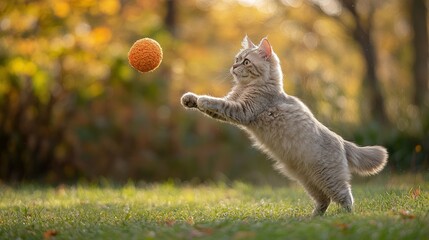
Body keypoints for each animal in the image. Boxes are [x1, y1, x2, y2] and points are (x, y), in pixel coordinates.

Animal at [179, 35, 386, 216]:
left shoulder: (243, 110)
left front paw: (203, 100)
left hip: (329, 178)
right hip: (308, 181)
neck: (247, 87)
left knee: (346, 196)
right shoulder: (234, 102)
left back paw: (344, 216)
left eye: (246, 62)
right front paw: (190, 99)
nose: (233, 66)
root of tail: (342, 141)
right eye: (237, 59)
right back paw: (312, 218)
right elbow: (213, 105)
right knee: (324, 200)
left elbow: (218, 103)